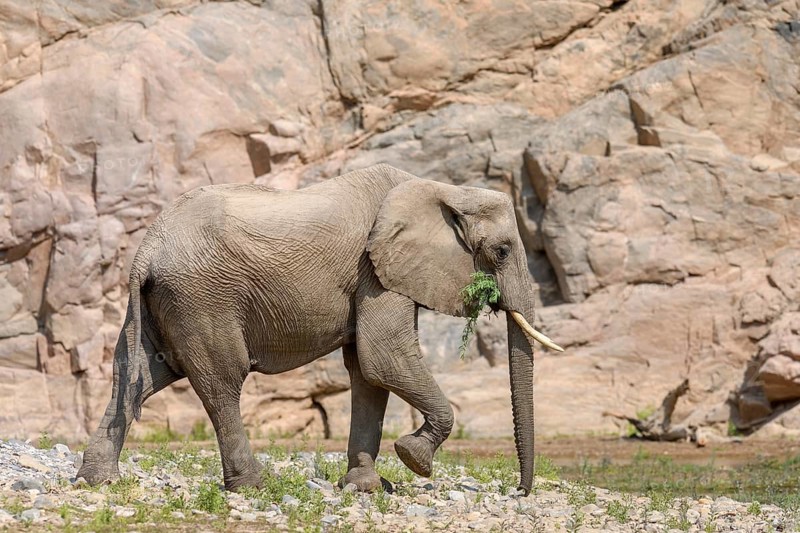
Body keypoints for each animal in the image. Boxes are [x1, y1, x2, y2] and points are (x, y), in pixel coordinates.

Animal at [76, 163, 562, 495]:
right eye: (502, 251)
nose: (520, 491)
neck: (440, 189)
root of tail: (147, 249)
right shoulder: (376, 272)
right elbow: (383, 357)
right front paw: (414, 459)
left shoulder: (380, 273)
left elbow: (367, 372)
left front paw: (366, 488)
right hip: (202, 296)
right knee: (222, 382)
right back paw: (252, 486)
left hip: (164, 301)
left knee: (137, 376)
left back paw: (97, 480)